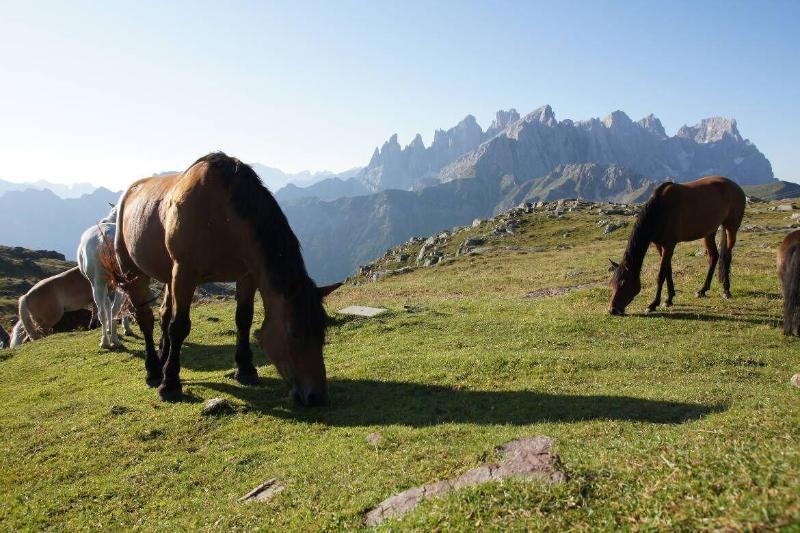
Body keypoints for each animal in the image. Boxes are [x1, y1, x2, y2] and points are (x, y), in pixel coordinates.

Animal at [77, 205, 133, 350]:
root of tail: (105, 237)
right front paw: (125, 328)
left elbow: (108, 305)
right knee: (113, 309)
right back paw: (113, 340)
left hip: (98, 282)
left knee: (103, 311)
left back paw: (106, 341)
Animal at [115, 154, 332, 404]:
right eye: (294, 333)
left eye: (322, 331)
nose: (316, 395)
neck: (221, 216)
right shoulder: (185, 273)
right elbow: (179, 326)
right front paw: (170, 384)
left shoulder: (247, 274)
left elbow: (243, 318)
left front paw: (245, 368)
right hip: (134, 272)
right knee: (146, 319)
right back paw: (153, 370)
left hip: (168, 275)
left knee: (164, 315)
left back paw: (163, 355)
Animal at [608, 177, 748, 314]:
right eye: (611, 283)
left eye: (623, 283)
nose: (612, 310)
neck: (660, 210)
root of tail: (736, 187)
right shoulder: (660, 245)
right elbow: (668, 271)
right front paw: (669, 299)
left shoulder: (669, 245)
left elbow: (661, 274)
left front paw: (653, 304)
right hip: (709, 232)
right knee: (714, 256)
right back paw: (702, 290)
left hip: (731, 227)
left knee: (727, 256)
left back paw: (726, 290)